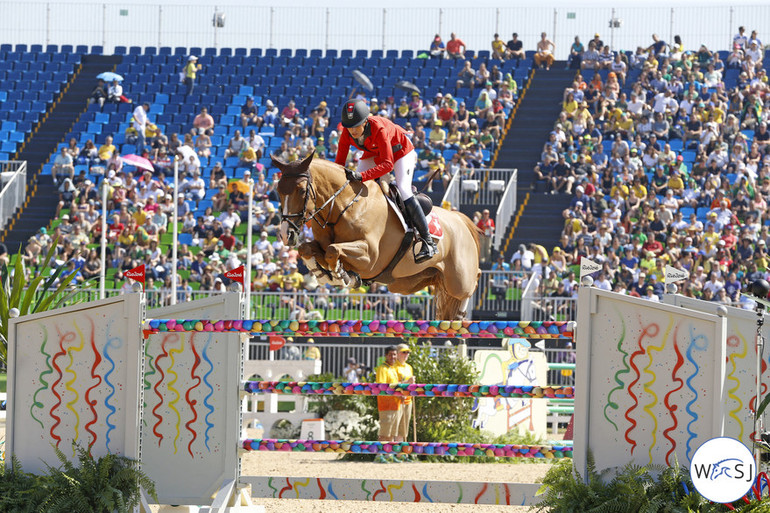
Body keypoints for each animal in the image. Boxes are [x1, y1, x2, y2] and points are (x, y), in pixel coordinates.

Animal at [272, 153, 476, 320]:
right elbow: (307, 248)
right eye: (279, 191)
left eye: (302, 191)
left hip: (458, 279)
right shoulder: (323, 246)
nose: (286, 234)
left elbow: (333, 250)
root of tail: (461, 219)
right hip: (407, 282)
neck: (344, 206)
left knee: (471, 285)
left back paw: (460, 314)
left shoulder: (370, 258)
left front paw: (340, 275)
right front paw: (323, 273)